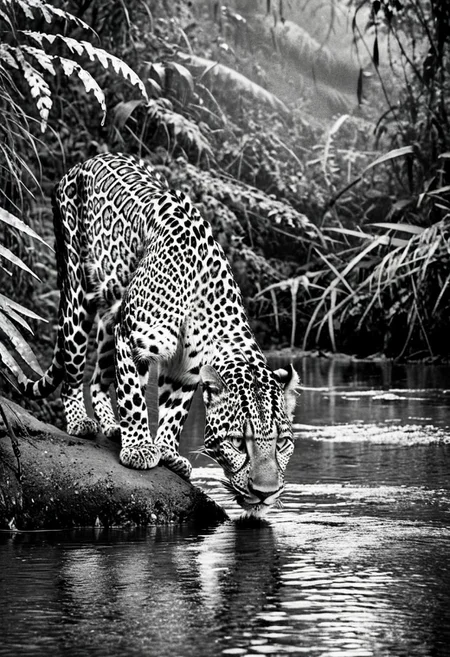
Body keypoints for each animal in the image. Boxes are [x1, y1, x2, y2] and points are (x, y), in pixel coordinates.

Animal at [15, 152, 299, 515]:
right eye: (238, 442)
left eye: (283, 443)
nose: (266, 493)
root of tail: (82, 163)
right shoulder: (133, 339)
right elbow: (135, 398)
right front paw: (139, 448)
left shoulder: (187, 369)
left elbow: (175, 410)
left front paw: (167, 451)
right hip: (77, 293)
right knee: (74, 369)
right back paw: (81, 421)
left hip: (112, 315)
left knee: (98, 377)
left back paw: (111, 424)